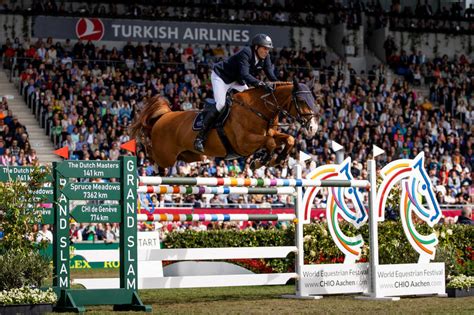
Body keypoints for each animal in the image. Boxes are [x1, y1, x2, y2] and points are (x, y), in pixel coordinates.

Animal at [130, 78, 318, 169]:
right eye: (301, 100)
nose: (313, 128)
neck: (258, 109)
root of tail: (164, 116)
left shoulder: (270, 134)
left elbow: (288, 139)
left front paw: (276, 159)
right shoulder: (244, 143)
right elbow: (270, 143)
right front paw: (261, 160)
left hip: (190, 154)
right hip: (165, 156)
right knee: (152, 154)